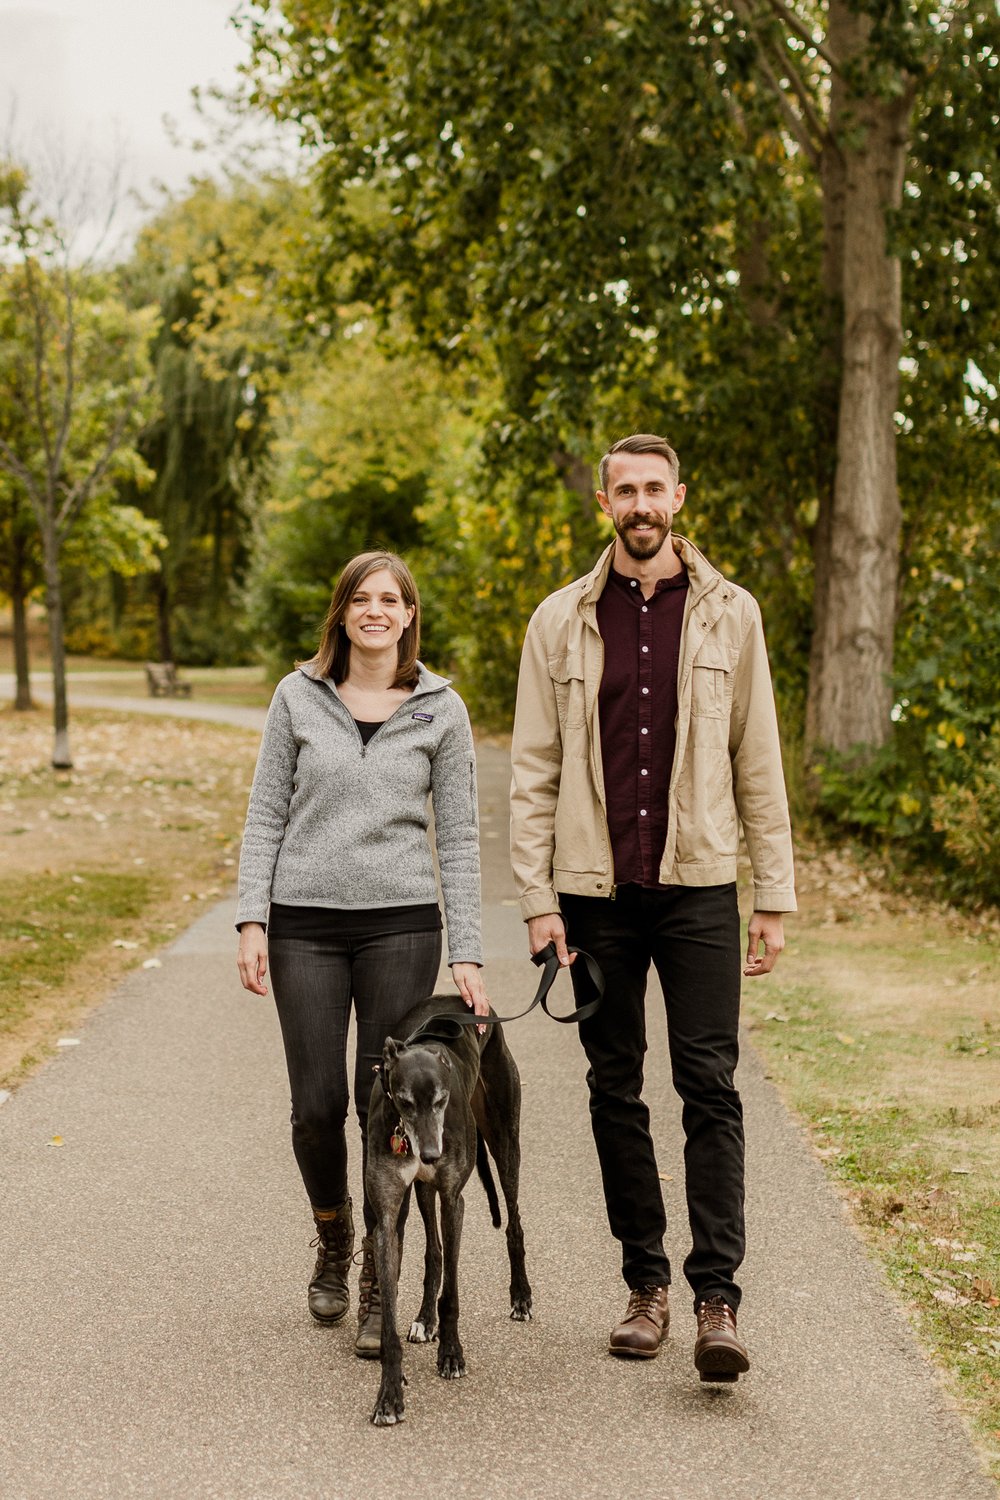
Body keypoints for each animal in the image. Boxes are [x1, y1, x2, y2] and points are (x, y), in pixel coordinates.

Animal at [365, 996, 530, 1428]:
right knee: (433, 1252)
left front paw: (452, 1355)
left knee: (514, 1224)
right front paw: (390, 1394)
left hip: (504, 1140)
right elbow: (389, 1322)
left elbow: (453, 1294)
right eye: (405, 1101)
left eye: (441, 1100)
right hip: (424, 1190)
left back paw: (521, 1296)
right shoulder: (388, 1216)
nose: (430, 1154)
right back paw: (425, 1319)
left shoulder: (454, 1200)